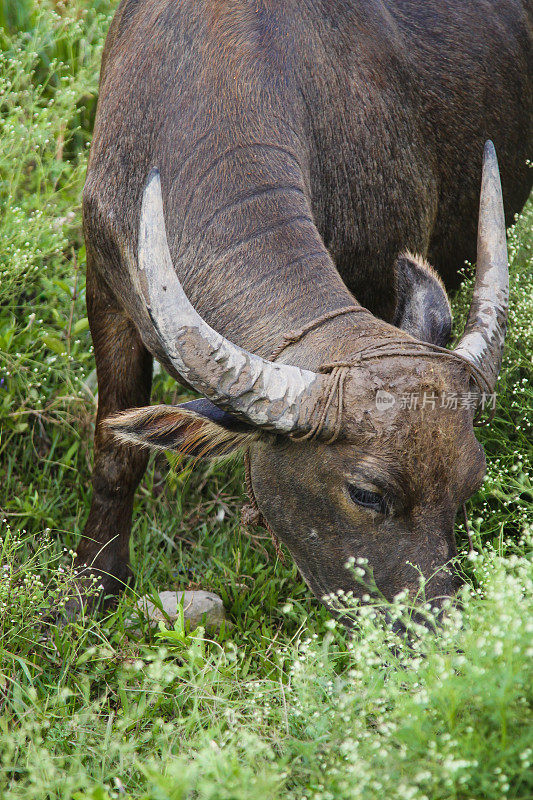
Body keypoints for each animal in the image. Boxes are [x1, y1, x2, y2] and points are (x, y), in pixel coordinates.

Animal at [77, 0, 528, 620]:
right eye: (367, 493)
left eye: (471, 481)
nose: (430, 626)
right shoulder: (105, 288)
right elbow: (115, 454)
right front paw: (89, 591)